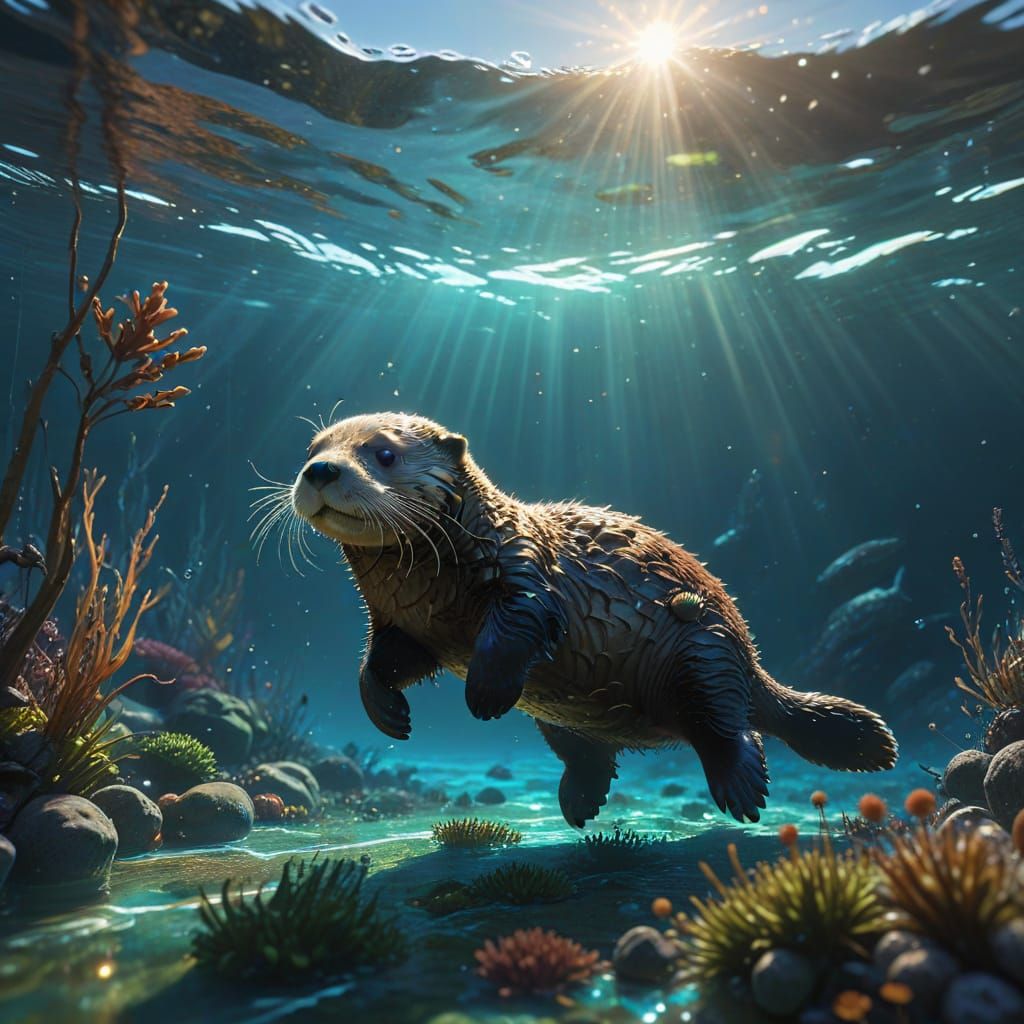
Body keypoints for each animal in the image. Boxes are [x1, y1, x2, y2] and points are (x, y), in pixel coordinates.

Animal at [290, 412, 897, 826]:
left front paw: (484, 695)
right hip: (571, 718)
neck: (434, 585)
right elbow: (385, 661)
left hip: (706, 651)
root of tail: (751, 656)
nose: (320, 470)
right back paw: (582, 800)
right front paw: (387, 713)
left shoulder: (526, 571)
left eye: (383, 454)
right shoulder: (404, 624)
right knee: (590, 754)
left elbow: (520, 624)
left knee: (732, 726)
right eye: (312, 448)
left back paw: (740, 787)